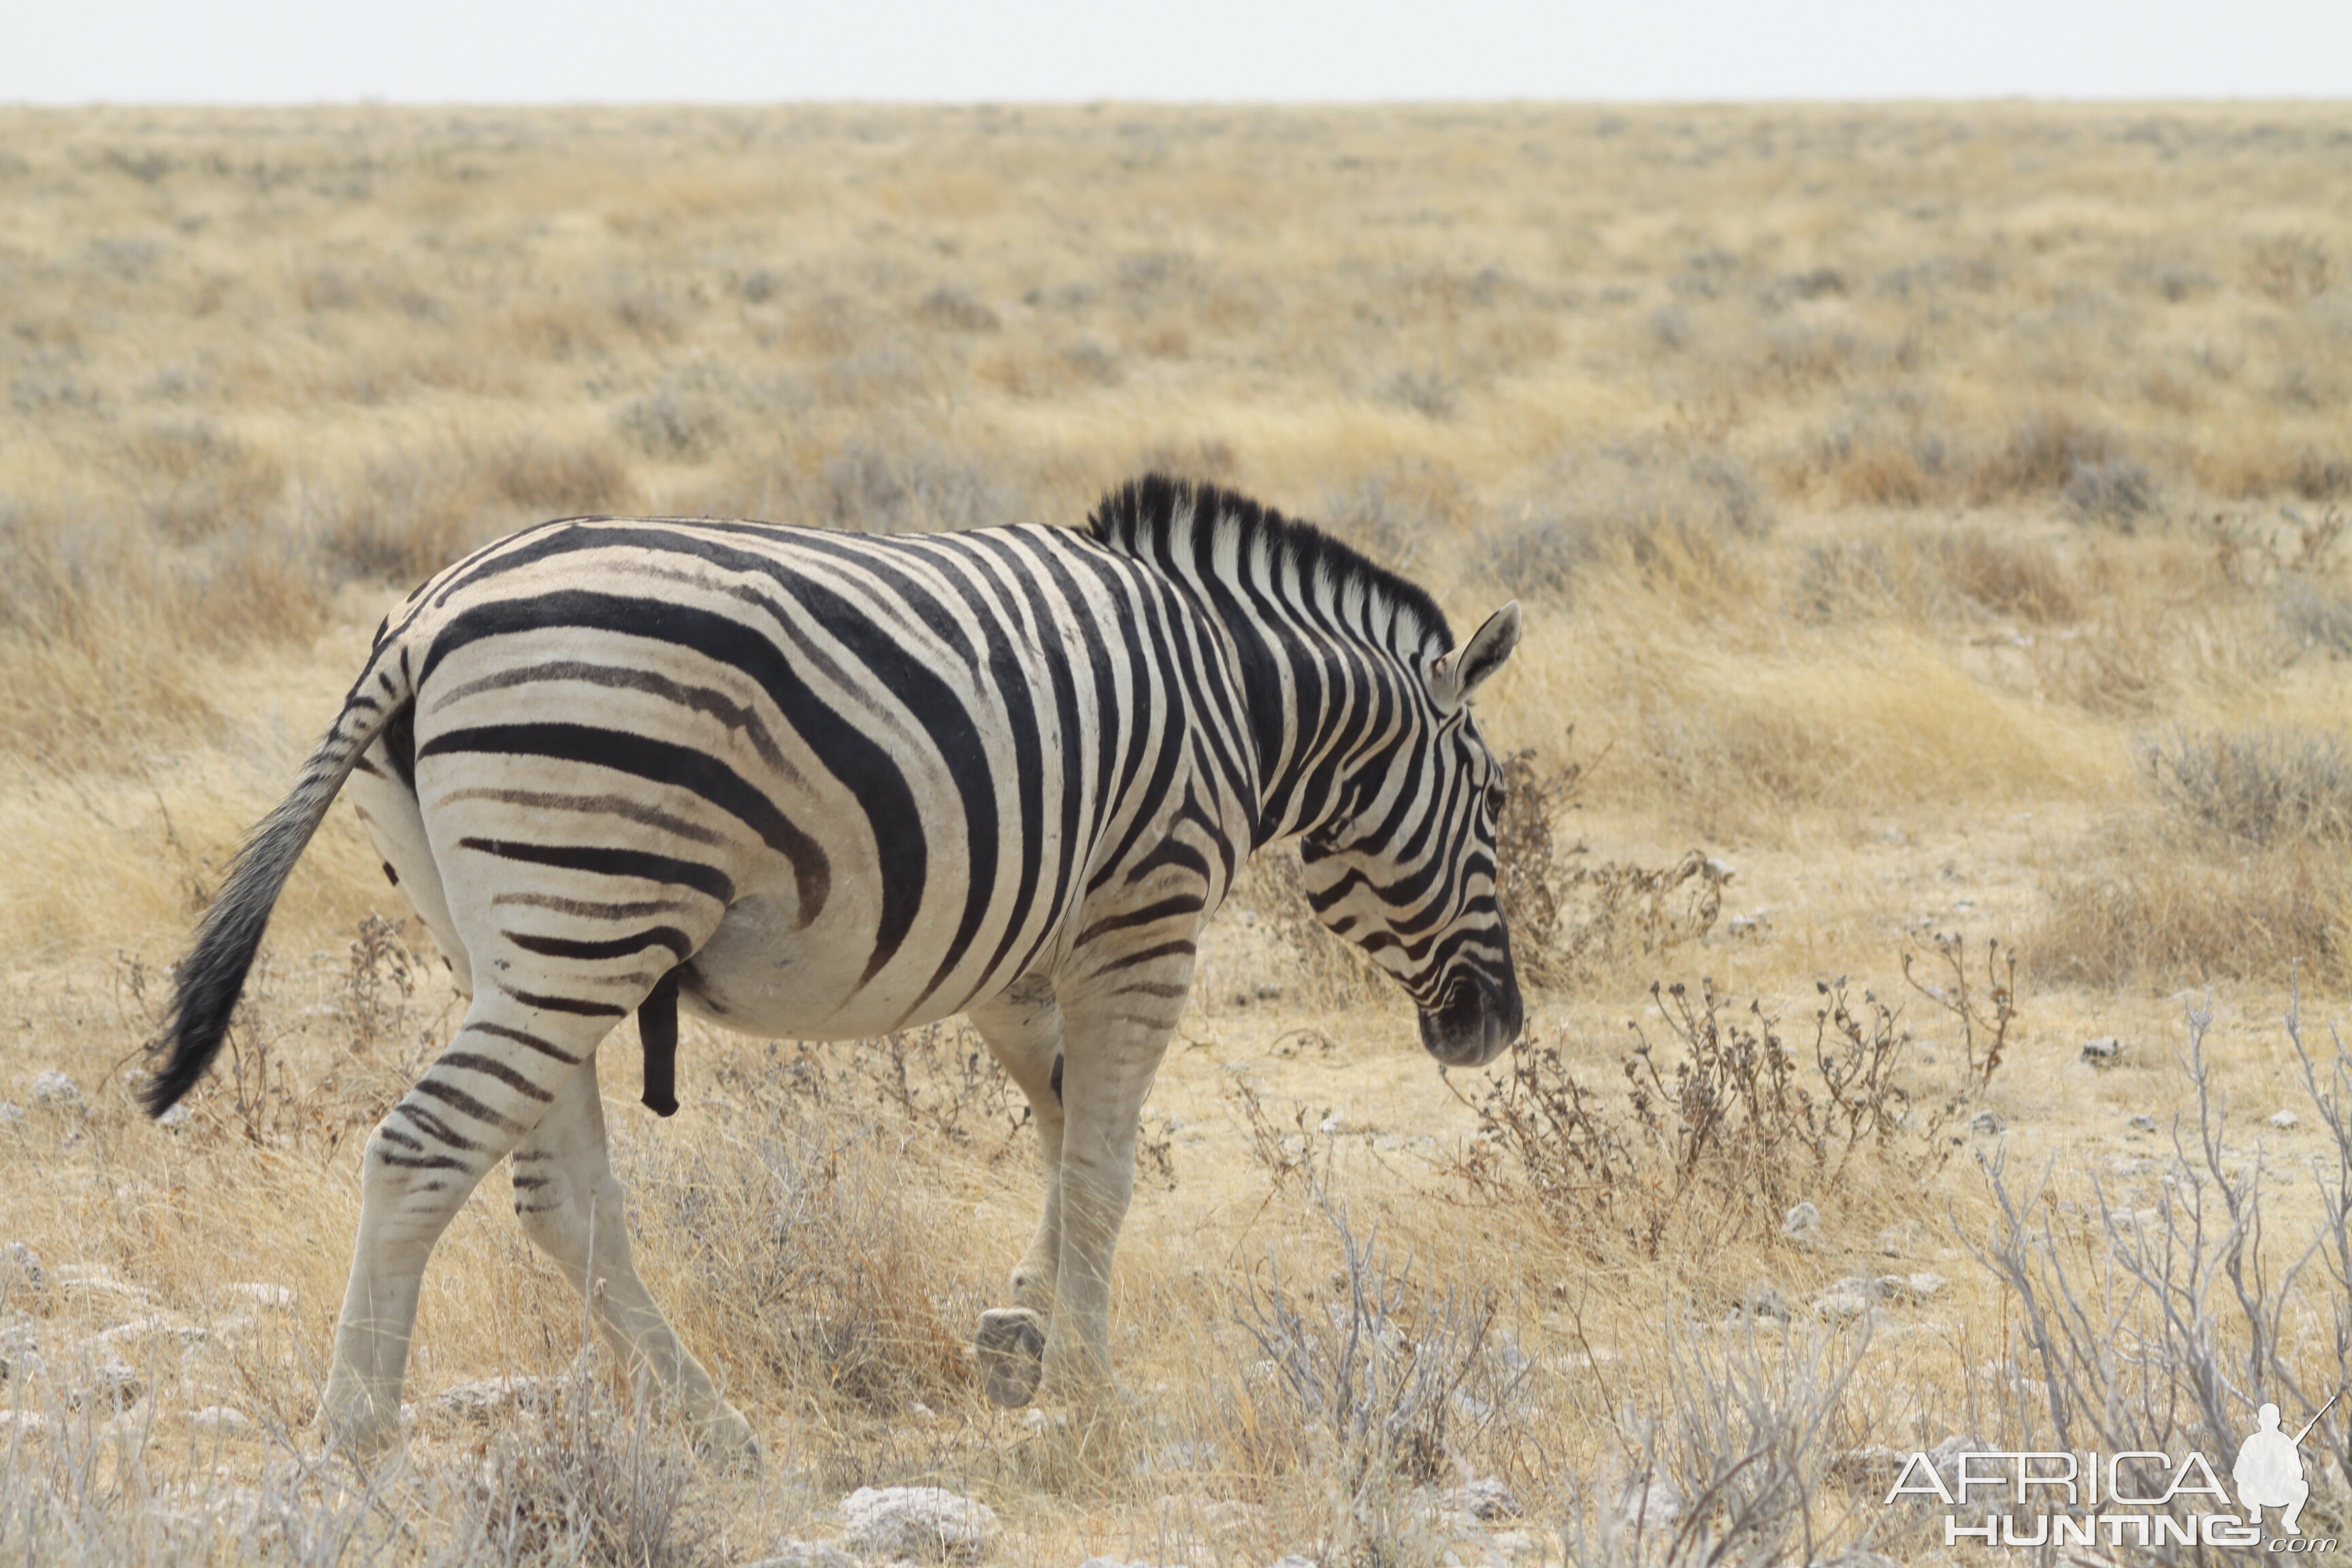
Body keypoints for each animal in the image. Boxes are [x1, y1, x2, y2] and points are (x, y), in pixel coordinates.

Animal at [142, 472, 1524, 1467]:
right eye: (1500, 803)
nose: (1499, 1029)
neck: (1241, 691)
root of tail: (422, 618)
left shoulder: (1021, 948)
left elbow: (1060, 1127)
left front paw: (1020, 1328)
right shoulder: (1148, 913)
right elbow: (1103, 1167)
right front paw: (1091, 1394)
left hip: (520, 941)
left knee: (559, 1195)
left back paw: (714, 1428)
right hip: (585, 915)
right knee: (424, 1150)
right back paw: (355, 1443)